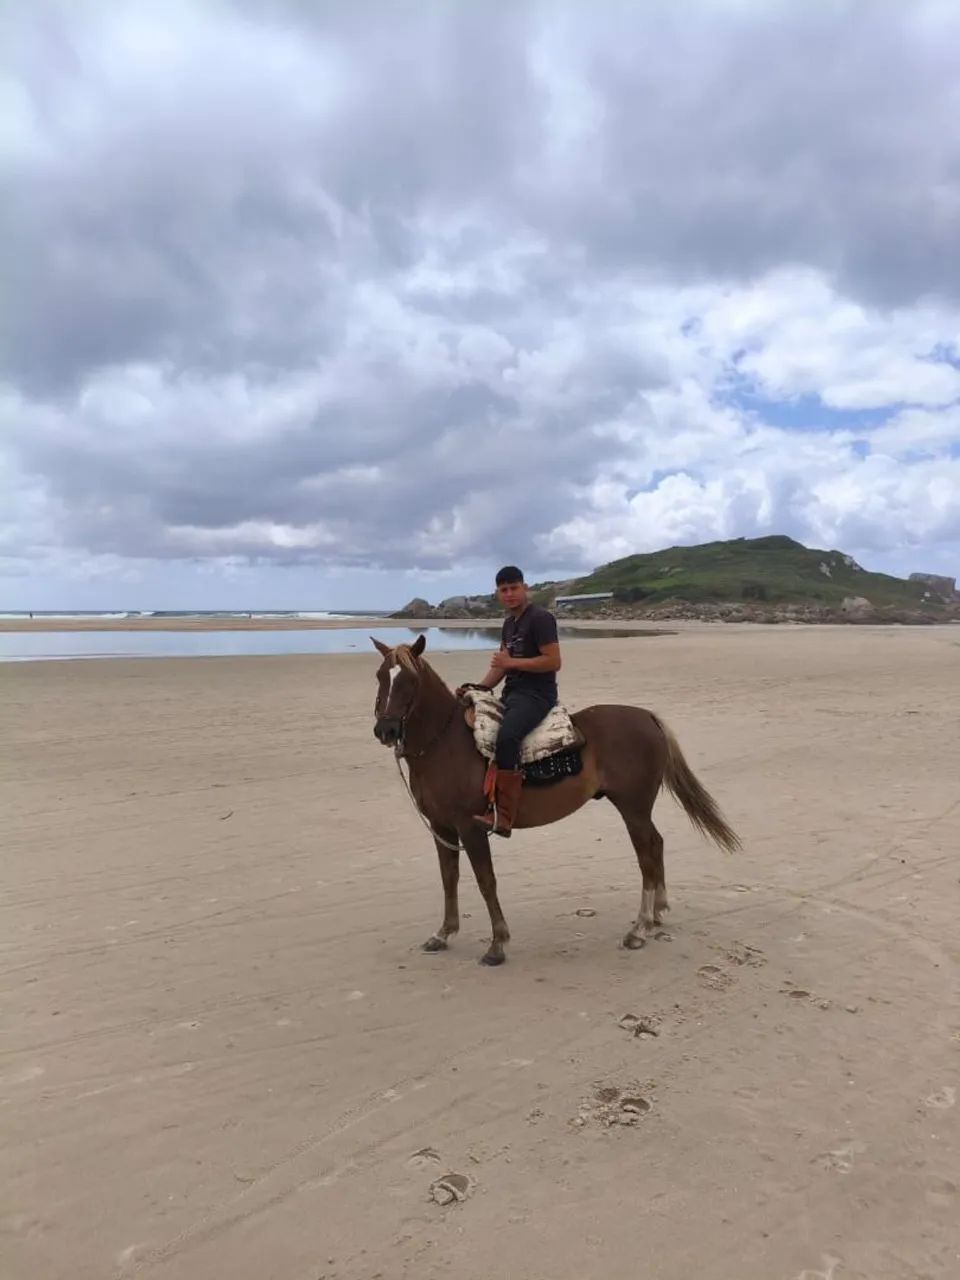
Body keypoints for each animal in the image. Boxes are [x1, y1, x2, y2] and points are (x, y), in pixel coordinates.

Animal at [371, 633, 740, 966]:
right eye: (380, 677)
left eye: (409, 681)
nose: (385, 731)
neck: (445, 744)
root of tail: (647, 717)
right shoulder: (442, 827)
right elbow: (449, 878)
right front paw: (444, 933)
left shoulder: (471, 828)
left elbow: (486, 881)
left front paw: (497, 944)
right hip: (637, 809)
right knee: (657, 844)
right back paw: (657, 913)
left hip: (632, 808)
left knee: (647, 854)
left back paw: (640, 928)